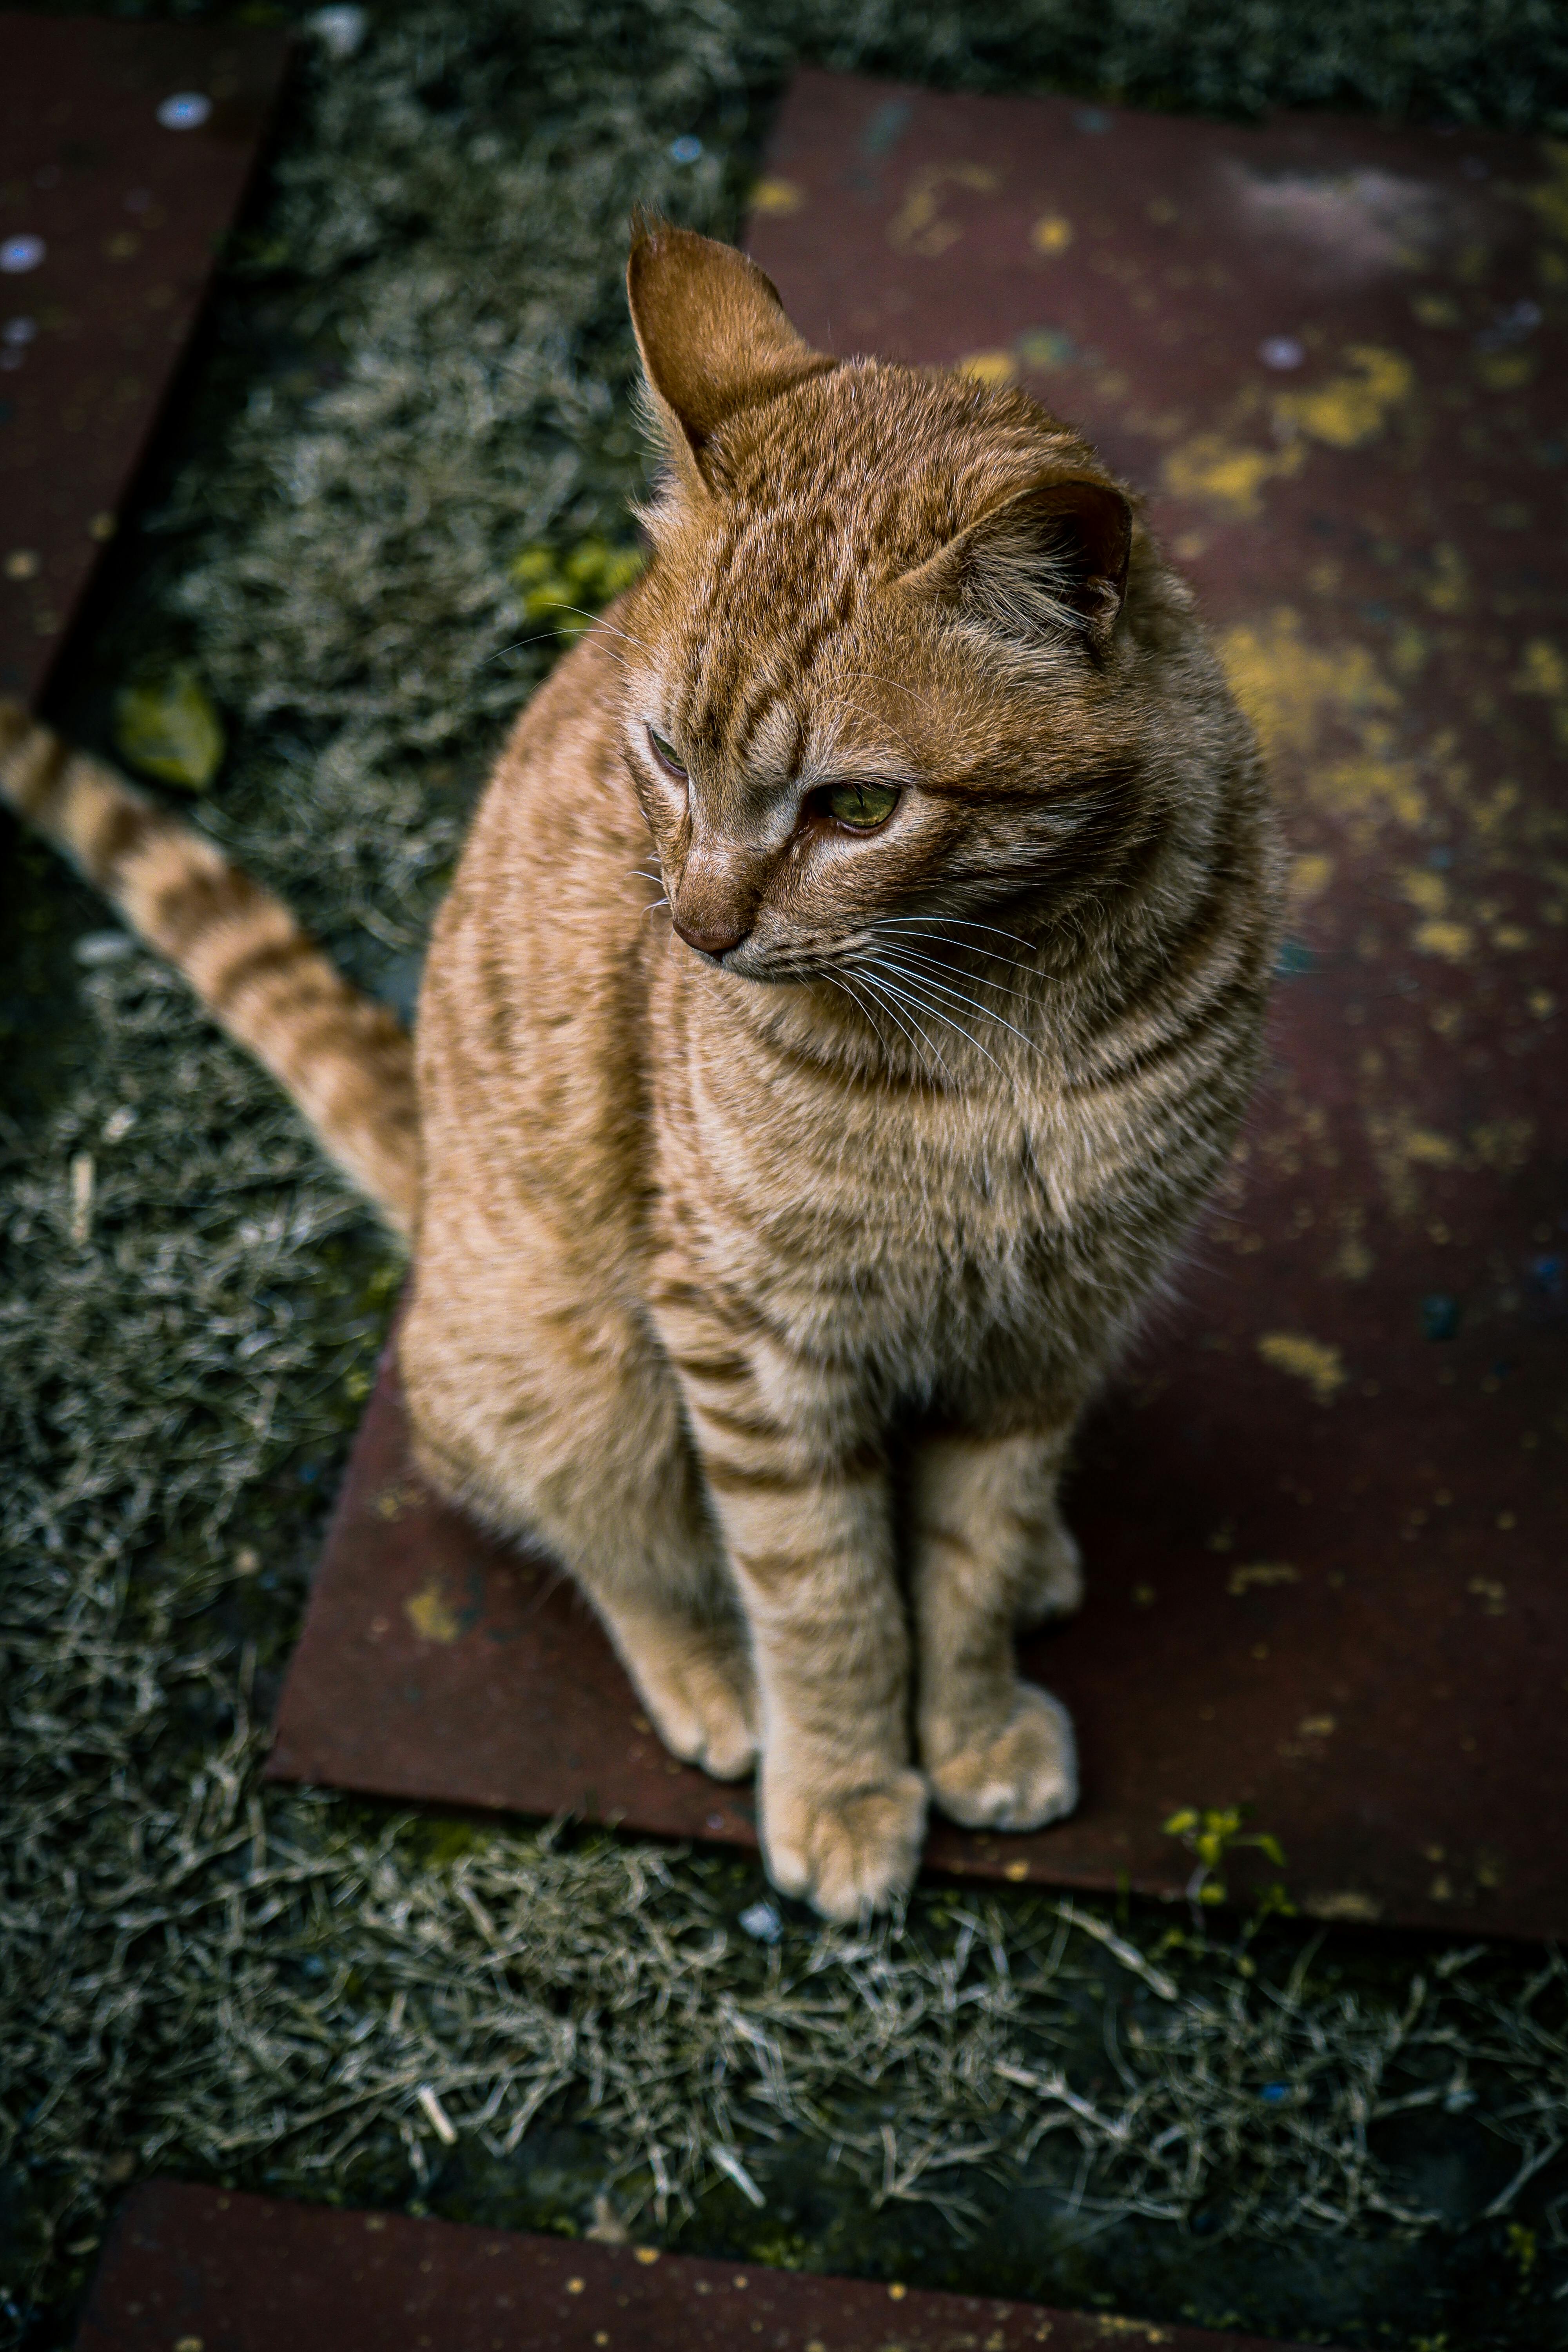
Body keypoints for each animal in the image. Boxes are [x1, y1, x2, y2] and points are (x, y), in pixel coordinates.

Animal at [0, 225, 1279, 1910]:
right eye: (668, 757)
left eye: (856, 807)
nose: (700, 929)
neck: (1009, 1016)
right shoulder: (751, 1334)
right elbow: (824, 1595)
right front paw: (848, 1784)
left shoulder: (1056, 1316)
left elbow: (969, 1553)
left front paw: (972, 1714)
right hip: (572, 1364)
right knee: (595, 1534)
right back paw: (710, 1683)